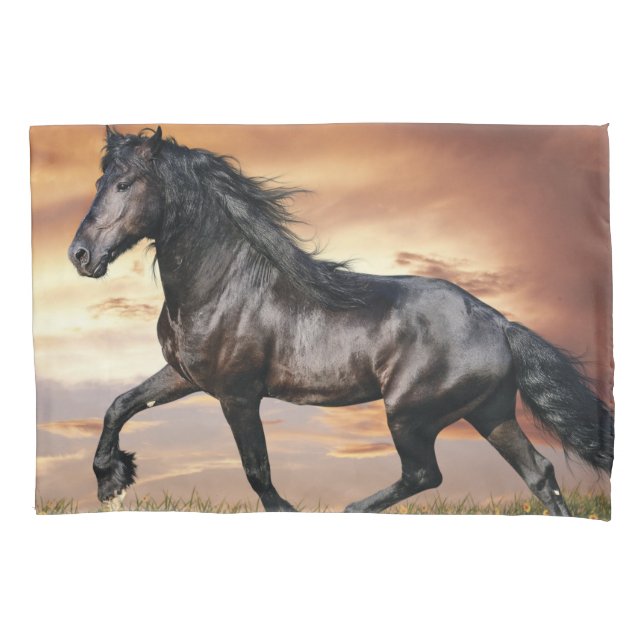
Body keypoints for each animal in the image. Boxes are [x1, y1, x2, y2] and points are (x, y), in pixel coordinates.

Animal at [68, 126, 614, 514]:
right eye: (98, 181)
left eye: (124, 184)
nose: (80, 255)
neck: (222, 286)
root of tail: (498, 322)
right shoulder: (186, 376)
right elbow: (120, 405)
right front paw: (112, 481)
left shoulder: (238, 395)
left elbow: (258, 473)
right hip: (490, 413)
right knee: (540, 474)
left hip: (411, 414)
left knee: (425, 475)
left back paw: (351, 509)